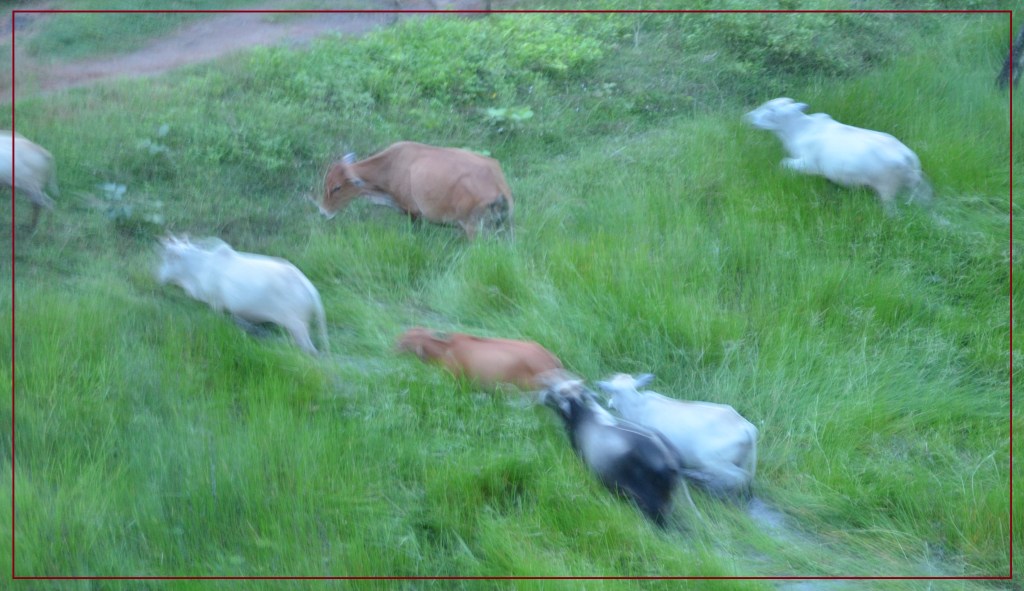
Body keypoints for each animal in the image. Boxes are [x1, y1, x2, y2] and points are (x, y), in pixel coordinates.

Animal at [156, 235, 328, 355]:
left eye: (169, 257)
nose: (160, 276)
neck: (200, 268)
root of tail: (310, 289)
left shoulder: (216, 303)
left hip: (297, 326)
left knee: (309, 349)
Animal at [319, 141, 514, 239]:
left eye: (337, 187)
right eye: (326, 182)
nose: (322, 212)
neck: (391, 166)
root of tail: (499, 184)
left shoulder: (412, 212)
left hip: (474, 228)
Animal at [395, 327, 562, 390]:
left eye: (404, 343)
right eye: (407, 332)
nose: (393, 347)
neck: (444, 349)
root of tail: (552, 361)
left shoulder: (452, 375)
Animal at [597, 373, 758, 499]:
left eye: (612, 392)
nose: (609, 403)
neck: (637, 406)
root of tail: (747, 428)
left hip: (713, 459)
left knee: (740, 477)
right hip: (737, 460)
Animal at [743, 97, 931, 214]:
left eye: (771, 109)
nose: (748, 116)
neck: (798, 130)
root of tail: (908, 158)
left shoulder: (809, 164)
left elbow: (783, 163)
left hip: (887, 189)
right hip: (914, 187)